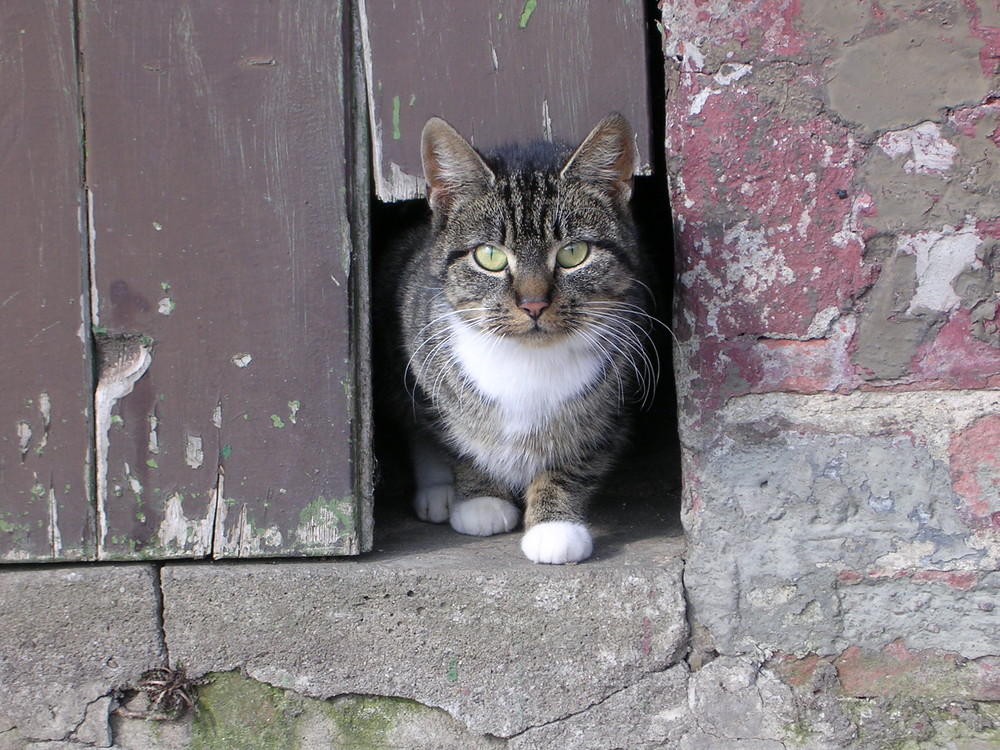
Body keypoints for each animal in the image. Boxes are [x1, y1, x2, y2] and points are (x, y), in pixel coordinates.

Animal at [376, 114, 656, 564]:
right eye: (489, 256)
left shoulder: (615, 405)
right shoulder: (426, 367)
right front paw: (480, 499)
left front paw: (554, 527)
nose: (534, 303)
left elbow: (574, 461)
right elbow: (457, 440)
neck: (528, 358)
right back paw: (439, 491)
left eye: (574, 253)